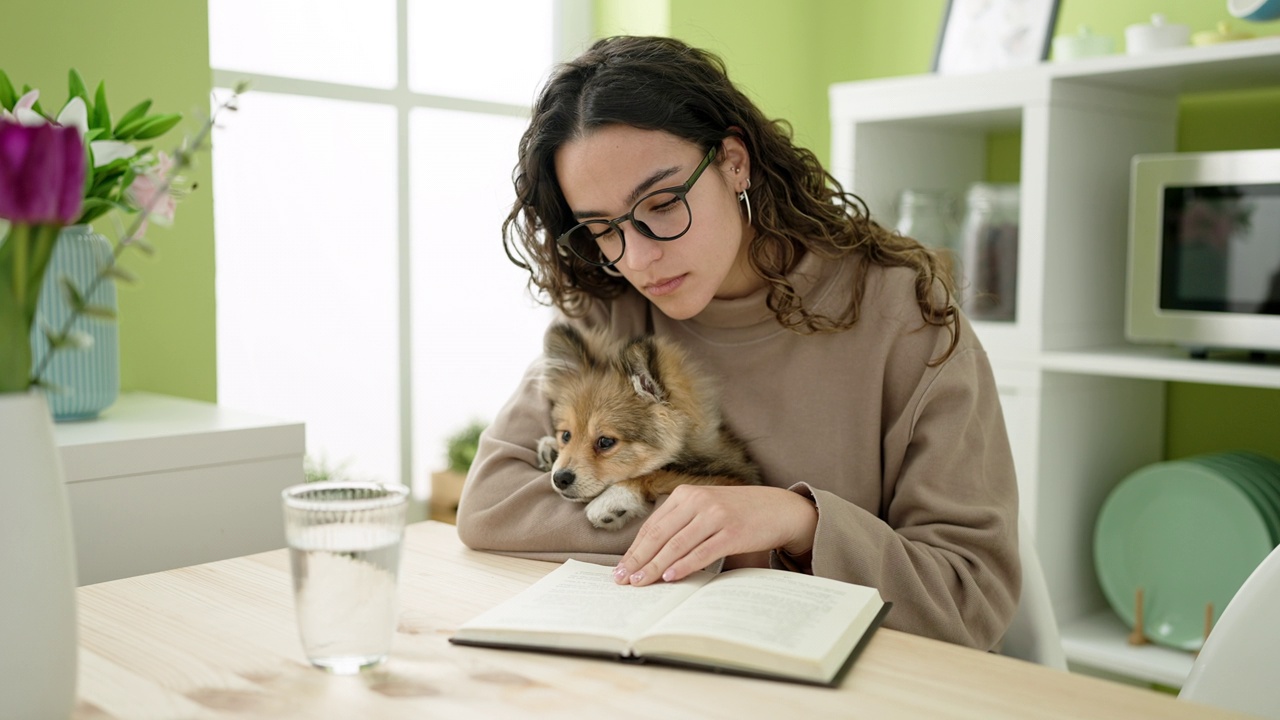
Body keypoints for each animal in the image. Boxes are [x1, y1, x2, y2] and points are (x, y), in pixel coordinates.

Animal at [532, 322, 757, 530]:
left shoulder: (737, 481)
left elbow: (661, 475)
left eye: (606, 442)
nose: (560, 478)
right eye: (566, 436)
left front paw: (614, 497)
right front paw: (550, 448)